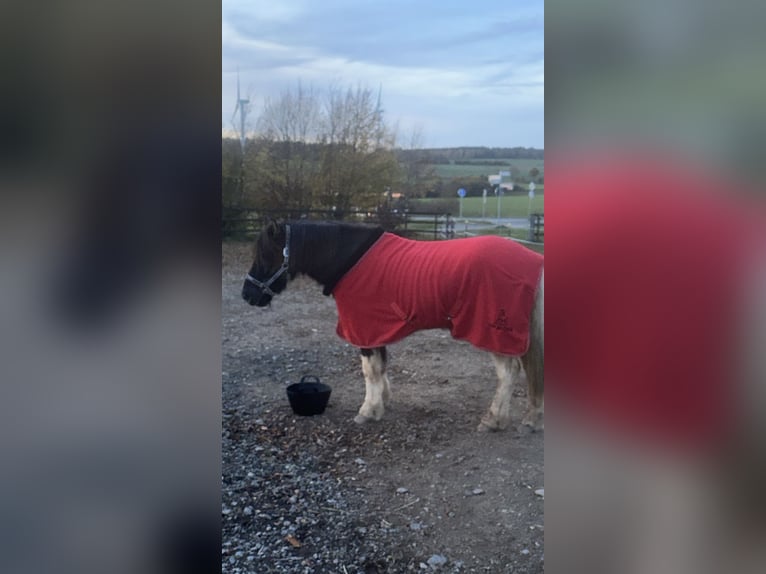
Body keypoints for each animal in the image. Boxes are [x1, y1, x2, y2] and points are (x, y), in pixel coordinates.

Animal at [242, 219, 545, 432]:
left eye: (266, 256)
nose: (247, 295)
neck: (350, 261)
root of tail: (533, 260)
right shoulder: (376, 329)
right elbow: (381, 367)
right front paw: (383, 403)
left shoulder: (364, 330)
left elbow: (369, 371)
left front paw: (367, 411)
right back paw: (529, 419)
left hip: (493, 333)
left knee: (508, 373)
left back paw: (493, 421)